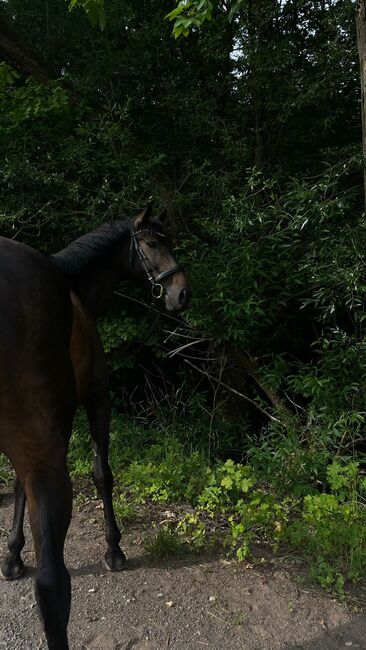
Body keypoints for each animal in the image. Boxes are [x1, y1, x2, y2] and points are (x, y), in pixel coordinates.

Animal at [0, 205, 189, 644]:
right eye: (152, 243)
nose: (182, 292)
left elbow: (17, 485)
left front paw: (13, 554)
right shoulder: (95, 401)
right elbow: (103, 474)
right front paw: (114, 549)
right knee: (52, 583)